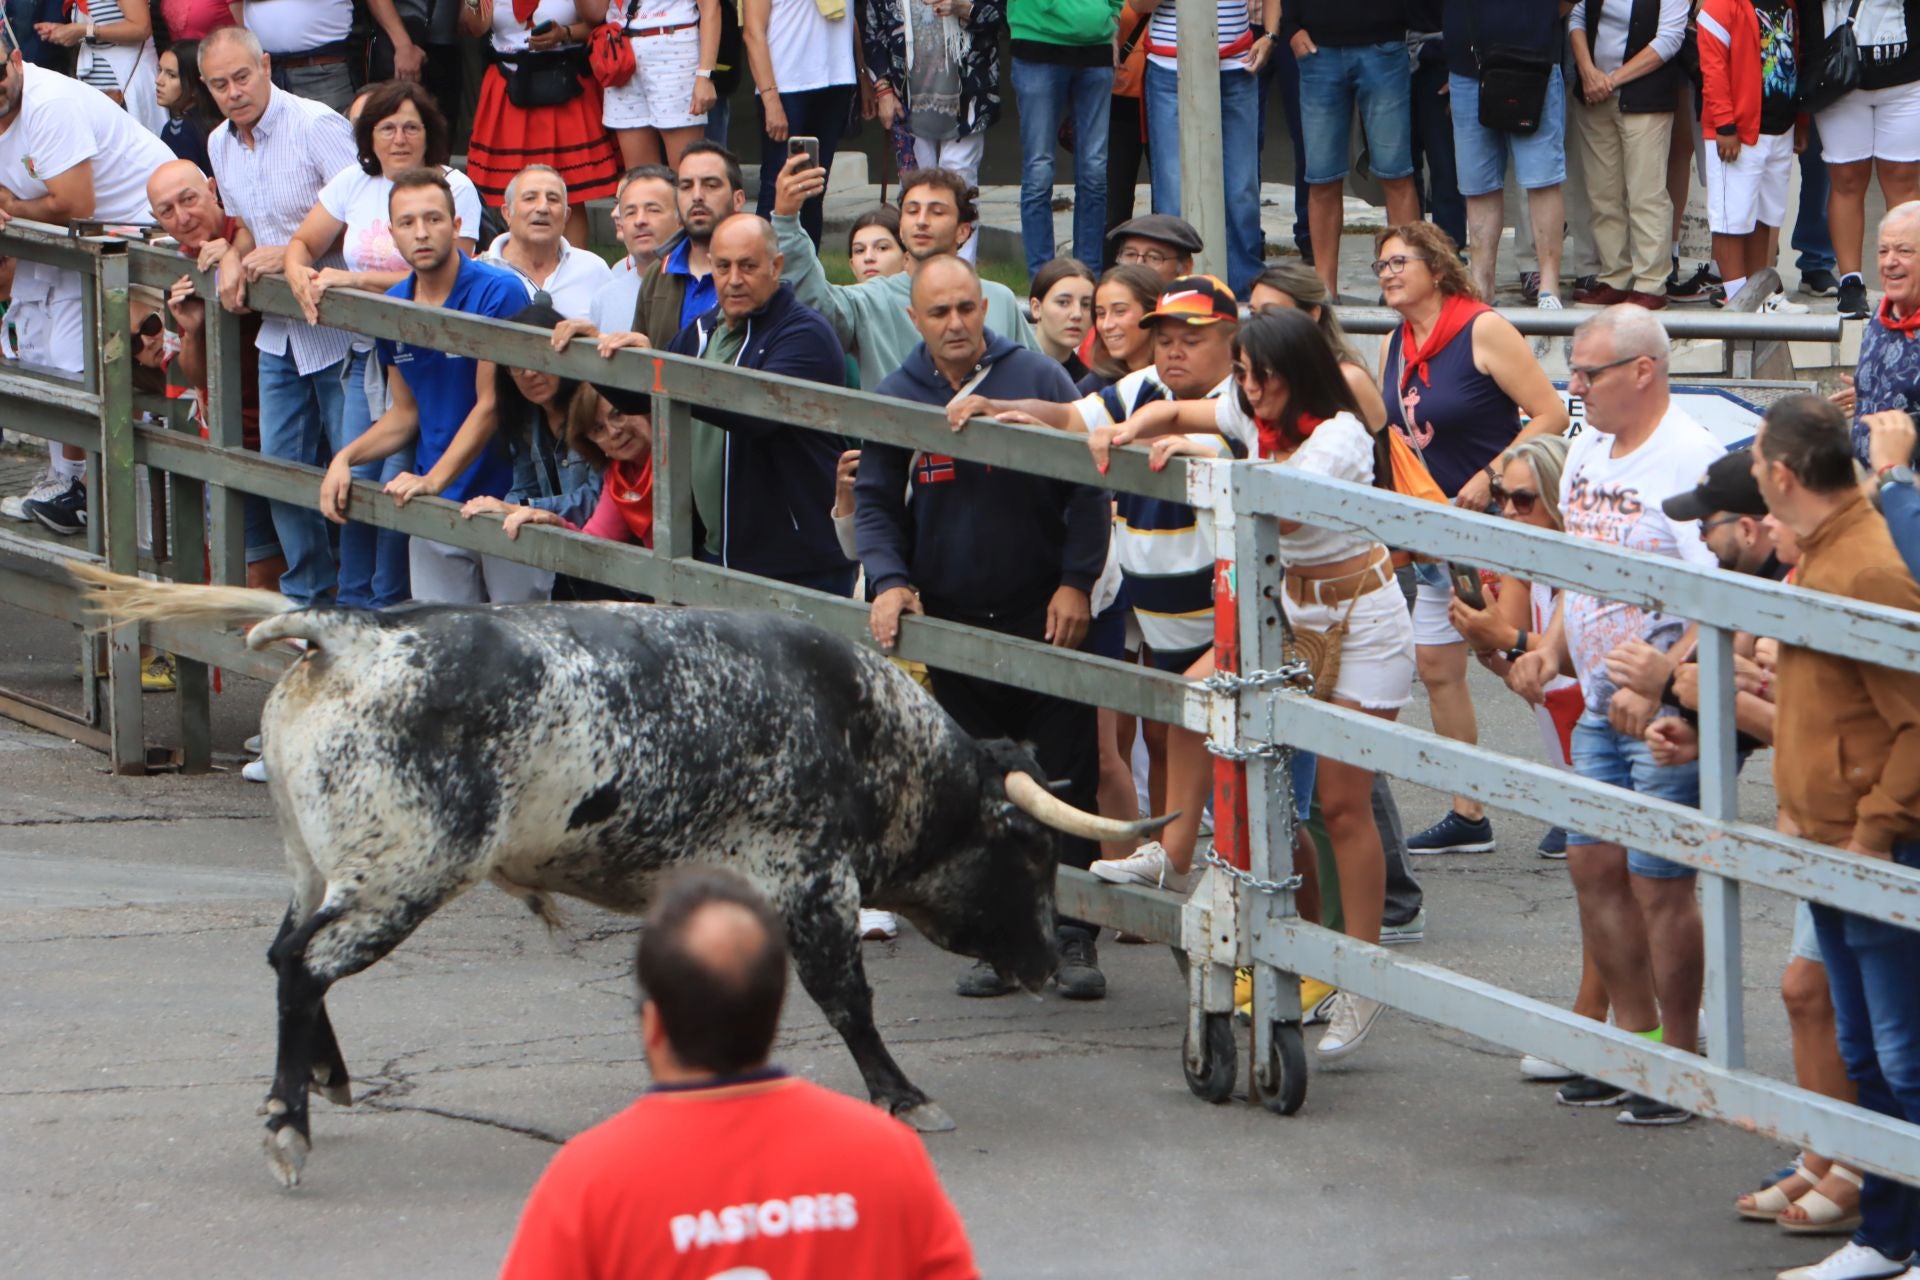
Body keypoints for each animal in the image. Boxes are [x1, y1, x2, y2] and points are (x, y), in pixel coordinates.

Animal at [74, 568, 1167, 1189]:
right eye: (1031, 852)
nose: (1044, 963)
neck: (863, 728)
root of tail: (351, 632)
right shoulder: (813, 882)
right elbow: (848, 1000)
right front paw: (904, 1096)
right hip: (400, 875)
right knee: (303, 964)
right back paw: (287, 1123)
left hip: (317, 862)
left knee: (287, 954)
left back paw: (324, 1079)